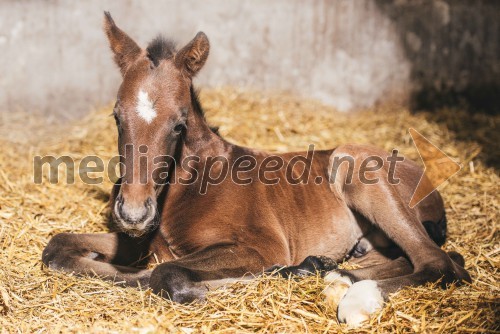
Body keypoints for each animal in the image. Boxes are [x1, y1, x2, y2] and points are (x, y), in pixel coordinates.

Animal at [42, 13, 468, 326]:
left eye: (179, 124)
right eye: (117, 116)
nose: (133, 213)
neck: (190, 185)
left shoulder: (261, 245)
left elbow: (166, 273)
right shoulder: (136, 242)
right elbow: (56, 247)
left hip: (356, 168)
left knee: (441, 263)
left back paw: (336, 285)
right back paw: (330, 271)